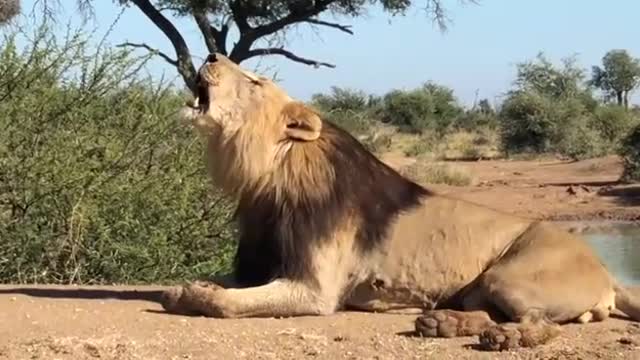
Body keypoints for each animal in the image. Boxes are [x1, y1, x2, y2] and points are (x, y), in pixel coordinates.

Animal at [161, 53, 640, 352]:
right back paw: (443, 324)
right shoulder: (259, 265)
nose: (211, 55)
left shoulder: (316, 290)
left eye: (255, 82)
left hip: (511, 277)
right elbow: (224, 284)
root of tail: (606, 271)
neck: (267, 174)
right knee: (488, 314)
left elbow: (227, 303)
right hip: (482, 289)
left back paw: (504, 340)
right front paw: (184, 286)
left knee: (539, 324)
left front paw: (193, 293)